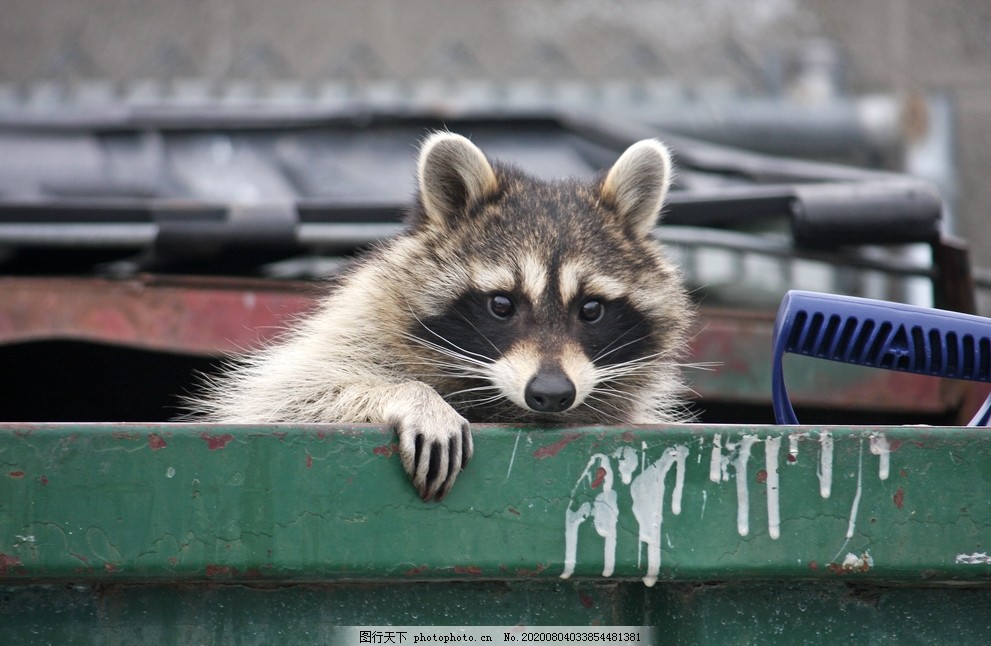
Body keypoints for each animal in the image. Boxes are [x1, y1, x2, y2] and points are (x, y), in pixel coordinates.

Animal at [190, 133, 692, 502]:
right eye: (501, 305)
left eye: (591, 309)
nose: (551, 393)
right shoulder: (353, 327)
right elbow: (287, 397)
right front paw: (412, 395)